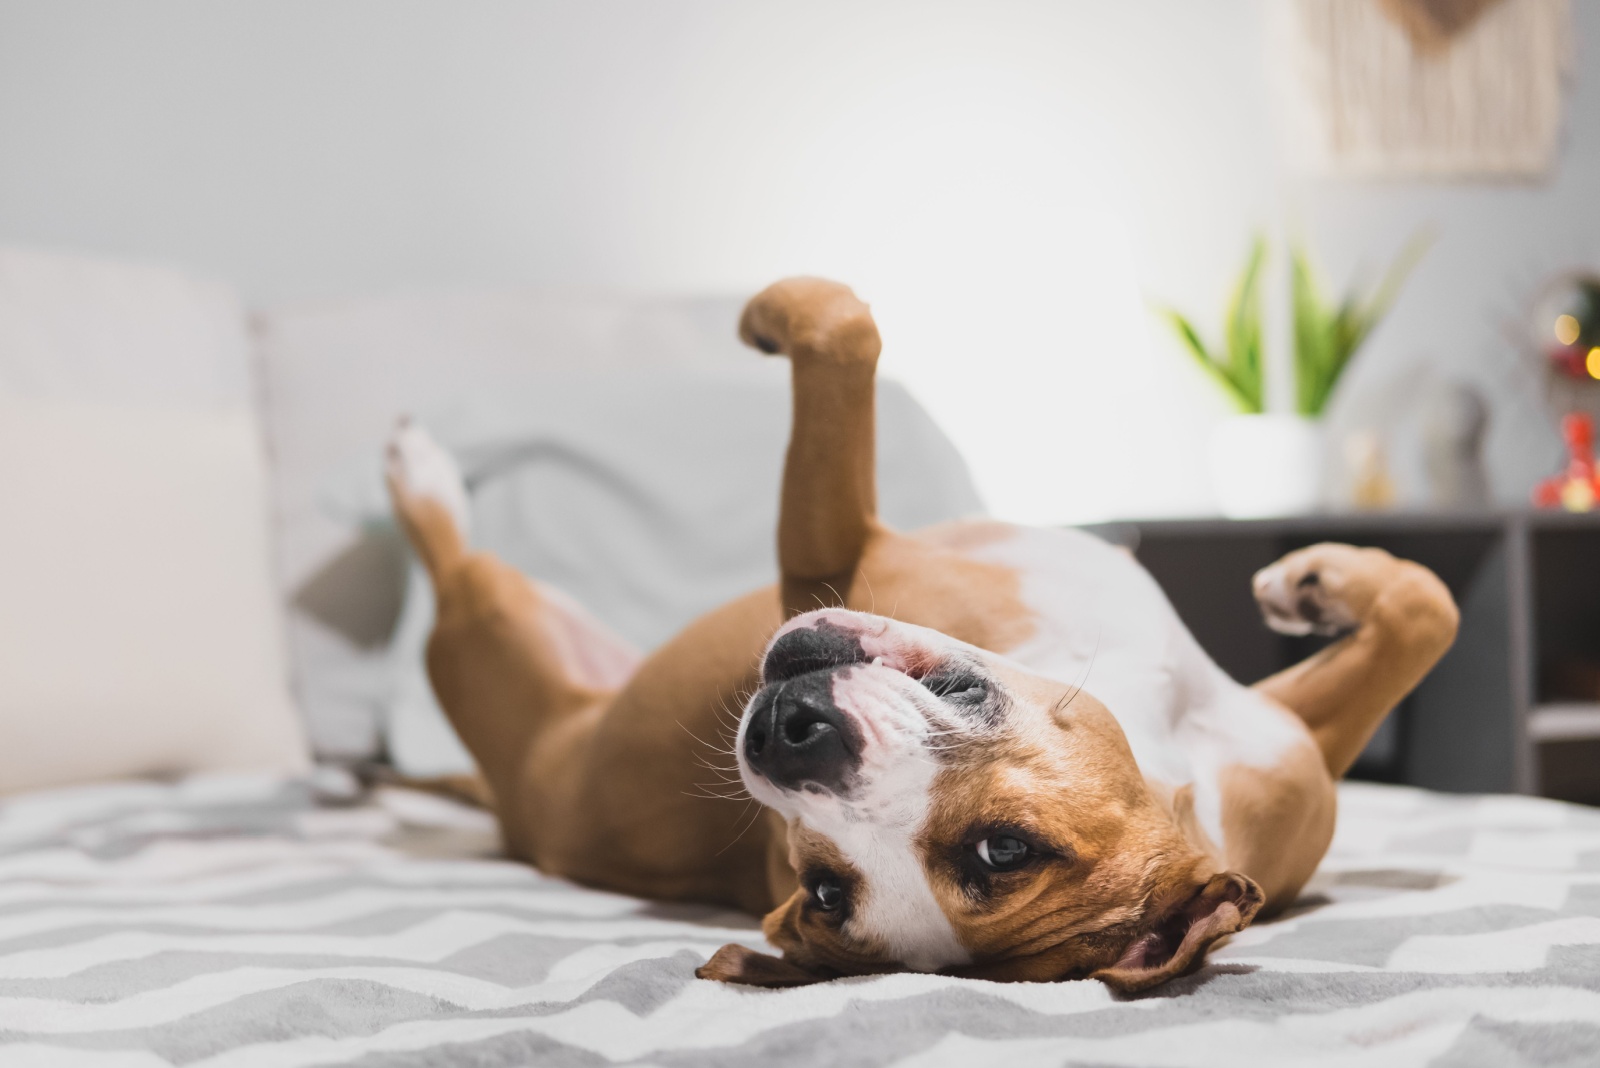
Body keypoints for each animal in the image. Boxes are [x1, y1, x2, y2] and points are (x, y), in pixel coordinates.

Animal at [387, 278, 1465, 991]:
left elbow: (840, 326)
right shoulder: (1288, 751)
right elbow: (1430, 612)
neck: (1164, 733)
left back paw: (419, 475)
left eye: (1002, 850)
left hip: (491, 633)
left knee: (451, 570)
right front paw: (1318, 584)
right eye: (822, 888)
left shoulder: (828, 551)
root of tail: (517, 812)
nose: (790, 740)